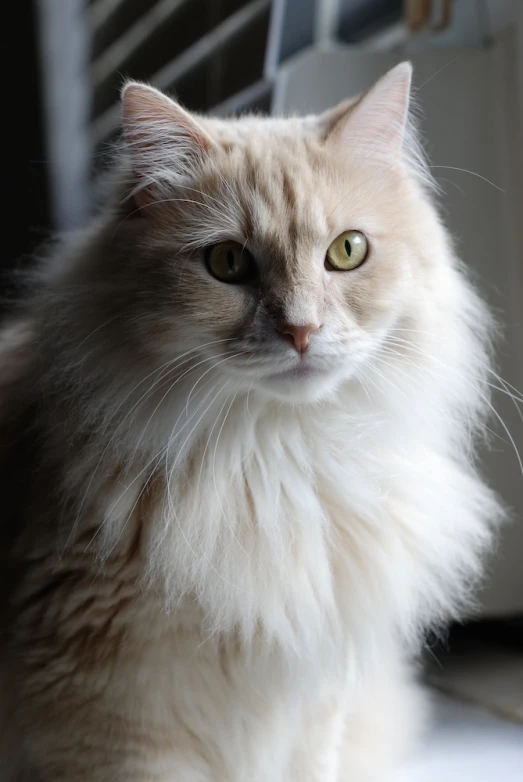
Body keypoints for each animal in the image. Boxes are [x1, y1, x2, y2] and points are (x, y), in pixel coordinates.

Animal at [0, 62, 504, 782]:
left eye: (347, 251)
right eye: (228, 264)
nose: (301, 331)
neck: (273, 462)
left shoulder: (313, 701)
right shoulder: (117, 727)